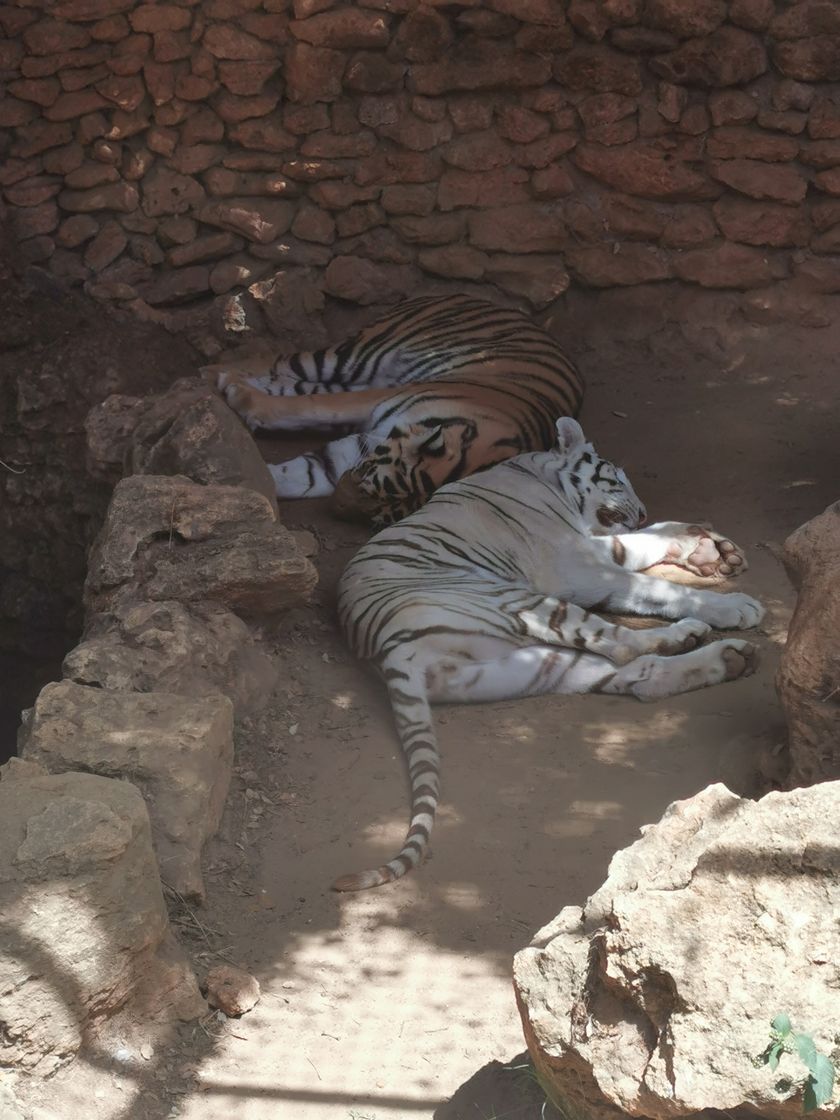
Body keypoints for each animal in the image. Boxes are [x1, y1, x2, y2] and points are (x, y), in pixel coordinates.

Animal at [333, 418, 761, 891]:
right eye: (616, 480)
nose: (642, 511)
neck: (539, 473)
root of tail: (388, 650)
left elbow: (641, 541)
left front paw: (697, 542)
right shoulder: (579, 566)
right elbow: (654, 580)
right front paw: (734, 603)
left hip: (532, 667)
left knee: (636, 676)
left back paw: (729, 659)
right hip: (523, 602)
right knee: (623, 644)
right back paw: (688, 634)